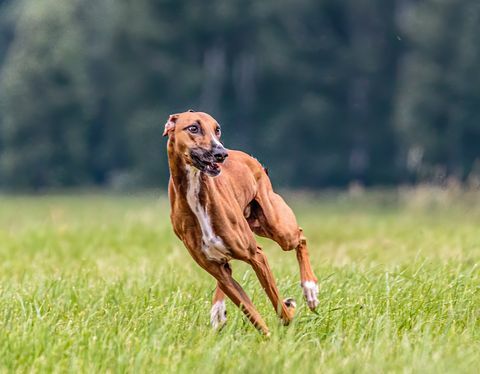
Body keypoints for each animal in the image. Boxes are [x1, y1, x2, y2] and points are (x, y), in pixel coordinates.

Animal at [164, 109, 318, 334]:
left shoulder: (256, 255)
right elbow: (251, 312)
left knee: (300, 236)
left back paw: (310, 289)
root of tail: (251, 158)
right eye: (193, 128)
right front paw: (269, 335)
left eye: (217, 129)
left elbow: (277, 303)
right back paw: (218, 312)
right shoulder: (217, 270)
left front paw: (288, 312)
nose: (221, 154)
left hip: (279, 227)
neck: (196, 193)